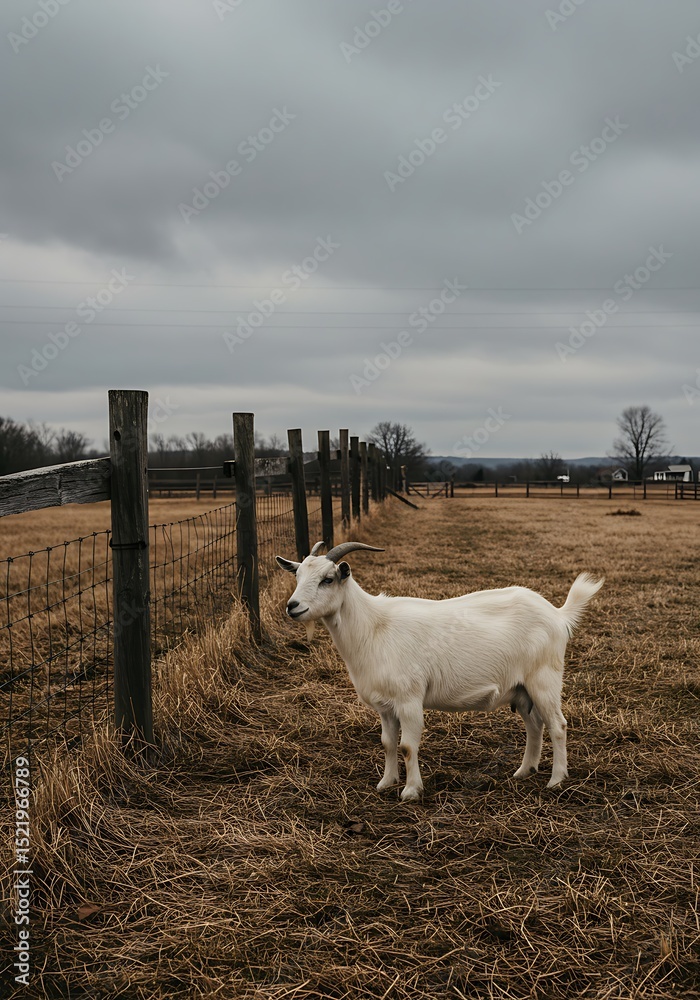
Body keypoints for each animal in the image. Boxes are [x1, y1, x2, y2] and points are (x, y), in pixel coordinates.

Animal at [276, 541, 603, 801]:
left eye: (328, 579)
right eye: (298, 575)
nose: (293, 606)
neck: (373, 628)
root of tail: (558, 615)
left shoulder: (409, 699)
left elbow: (408, 746)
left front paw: (411, 791)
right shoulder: (385, 705)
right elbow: (387, 744)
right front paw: (386, 782)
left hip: (544, 679)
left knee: (558, 725)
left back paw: (556, 780)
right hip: (521, 689)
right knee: (534, 725)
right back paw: (524, 771)